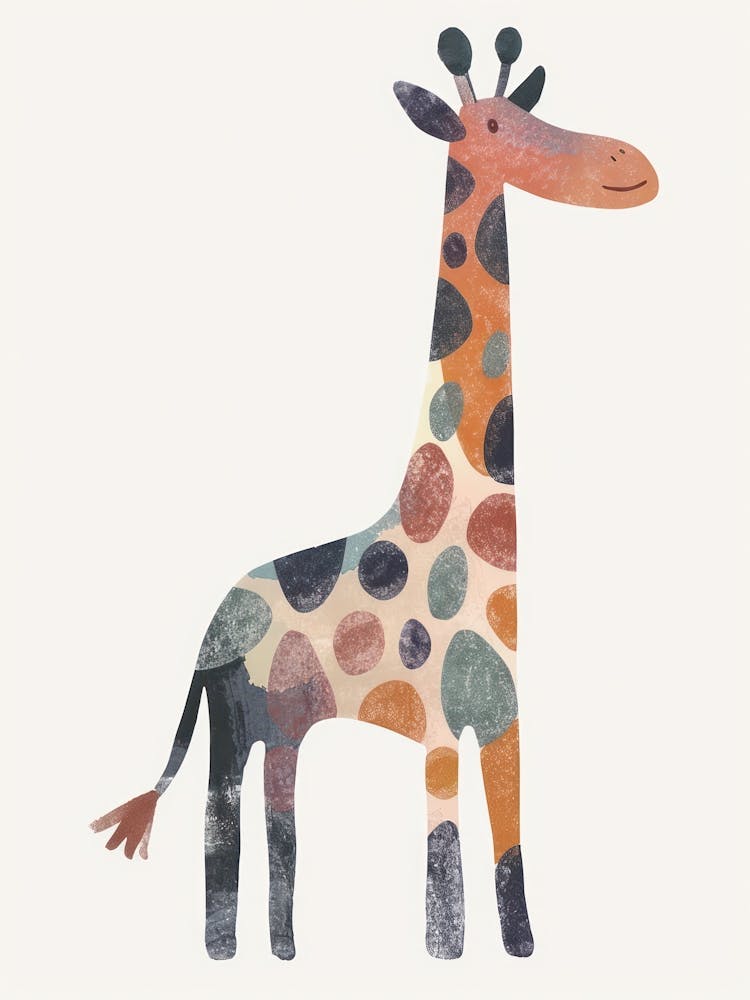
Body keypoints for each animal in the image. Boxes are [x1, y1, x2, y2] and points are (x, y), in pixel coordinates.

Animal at [92, 26, 658, 962]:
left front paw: (522, 954)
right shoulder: (435, 726)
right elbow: (445, 855)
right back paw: (226, 955)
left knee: (277, 817)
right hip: (234, 720)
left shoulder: (503, 717)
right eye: (496, 126)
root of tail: (206, 630)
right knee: (220, 816)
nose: (632, 165)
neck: (449, 514)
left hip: (282, 724)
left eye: (535, 109)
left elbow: (509, 845)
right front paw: (445, 958)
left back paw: (284, 953)